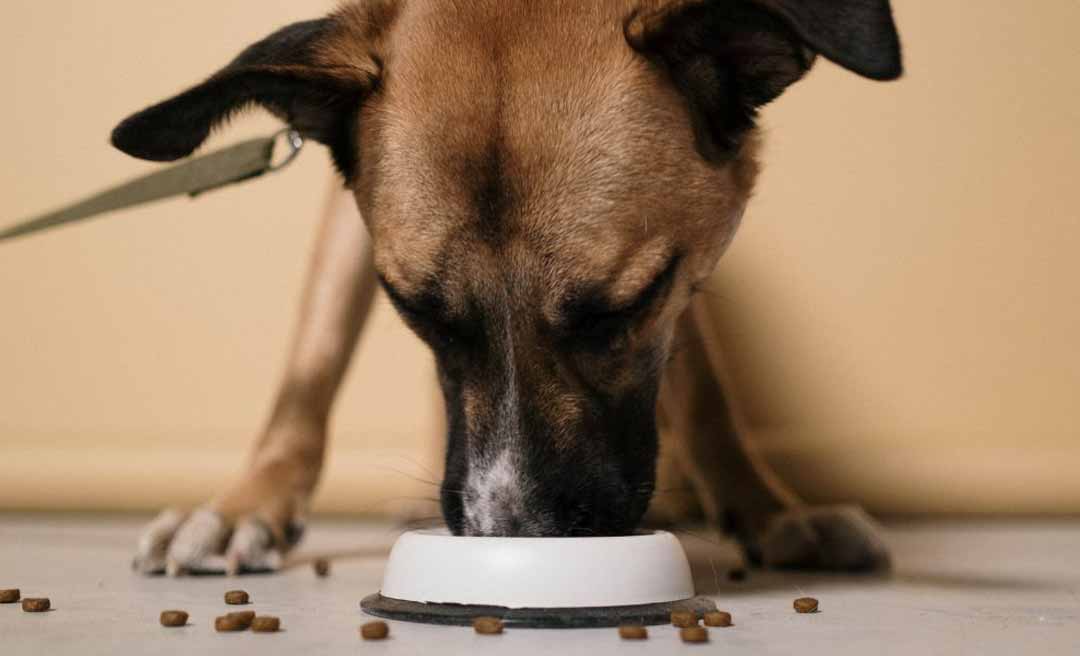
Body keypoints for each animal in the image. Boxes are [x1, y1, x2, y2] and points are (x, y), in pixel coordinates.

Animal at [111, 0, 902, 574]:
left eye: (624, 309)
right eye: (416, 311)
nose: (514, 534)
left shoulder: (685, 270)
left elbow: (704, 392)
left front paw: (767, 509)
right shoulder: (348, 216)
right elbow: (311, 366)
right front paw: (248, 503)